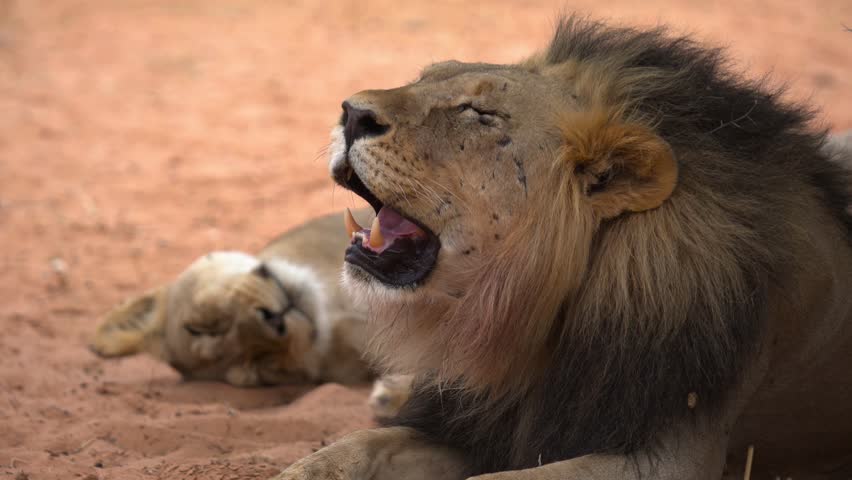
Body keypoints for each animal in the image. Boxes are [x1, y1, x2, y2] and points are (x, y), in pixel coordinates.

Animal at [276, 16, 852, 480]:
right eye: (423, 78)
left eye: (480, 112)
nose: (351, 113)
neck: (534, 324)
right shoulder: (473, 424)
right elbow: (351, 447)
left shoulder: (669, 456)